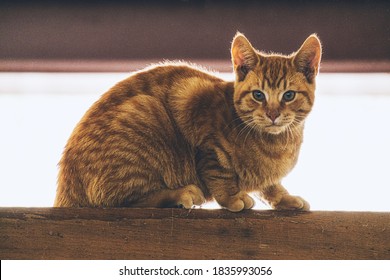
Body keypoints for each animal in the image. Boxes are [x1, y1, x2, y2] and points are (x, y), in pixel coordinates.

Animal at [55, 32, 322, 212]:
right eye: (258, 95)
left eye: (288, 95)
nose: (272, 114)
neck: (277, 146)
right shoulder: (206, 137)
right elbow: (219, 174)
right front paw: (232, 197)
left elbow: (271, 185)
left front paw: (285, 198)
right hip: (146, 113)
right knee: (125, 201)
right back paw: (181, 194)